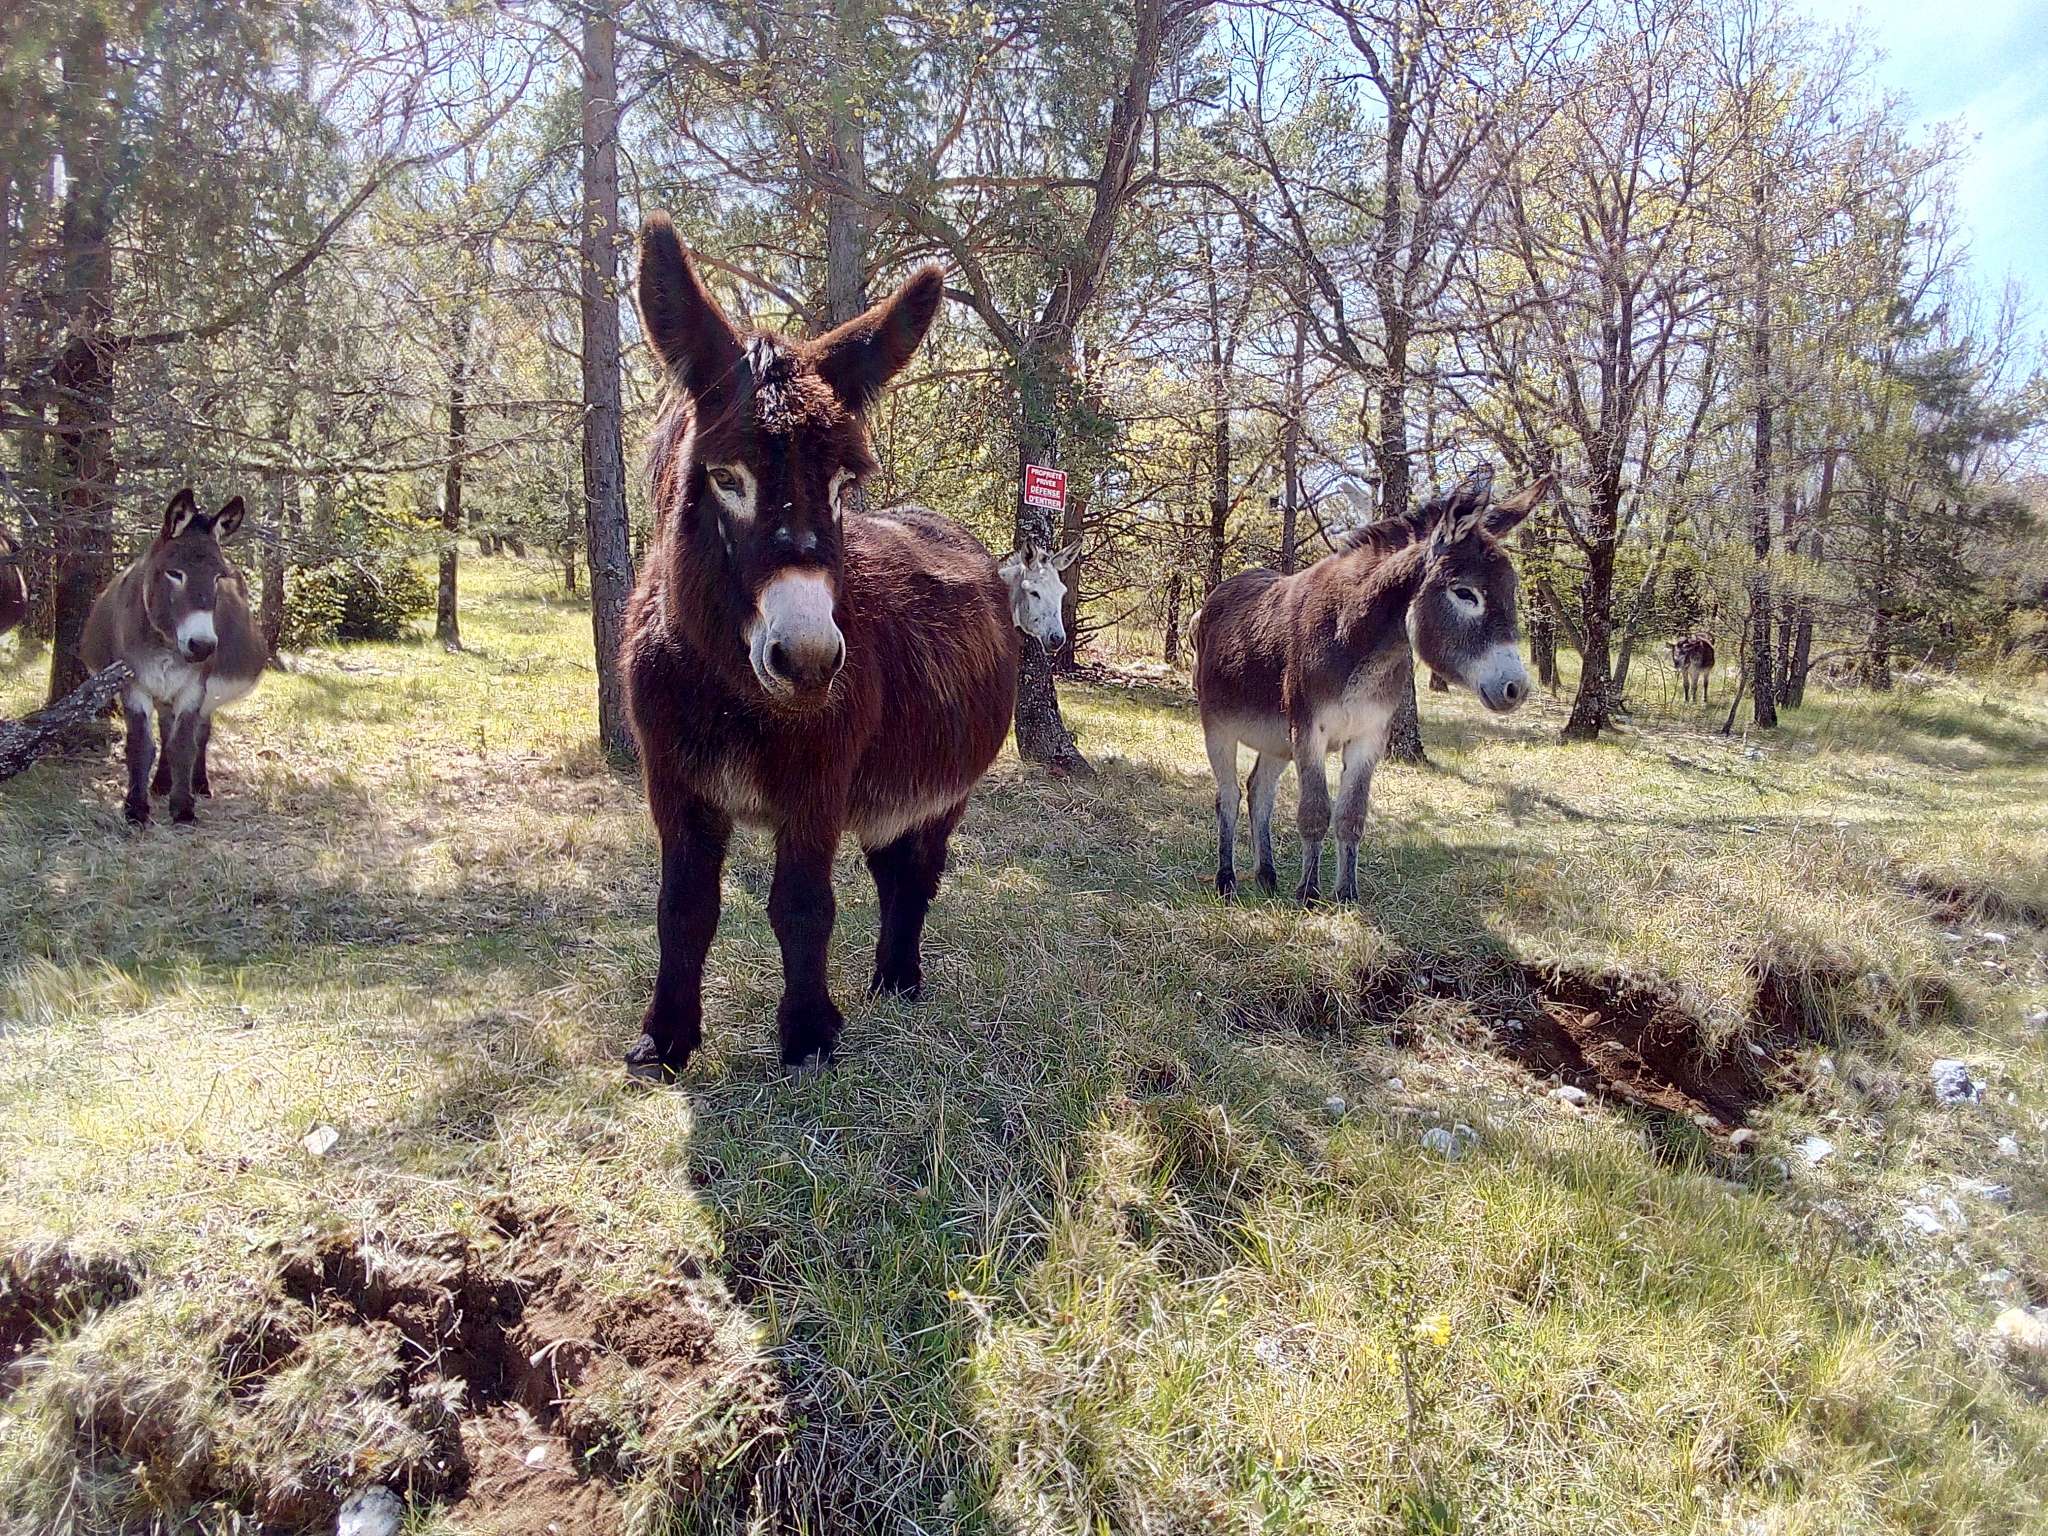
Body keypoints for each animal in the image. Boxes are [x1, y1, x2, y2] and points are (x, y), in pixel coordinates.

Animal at [81, 490, 264, 825]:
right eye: (175, 573)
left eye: (218, 577)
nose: (202, 646)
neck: (166, 645)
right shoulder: (132, 684)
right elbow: (141, 746)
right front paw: (136, 809)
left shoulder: (193, 689)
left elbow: (184, 745)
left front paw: (183, 808)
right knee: (166, 730)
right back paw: (161, 784)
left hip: (206, 694)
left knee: (201, 733)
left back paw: (199, 784)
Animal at [620, 216, 1065, 1079]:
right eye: (724, 478)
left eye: (841, 487)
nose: (810, 661)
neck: (732, 692)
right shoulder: (674, 783)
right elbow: (682, 907)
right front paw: (666, 1040)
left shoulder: (818, 786)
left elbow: (801, 905)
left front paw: (808, 1039)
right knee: (893, 867)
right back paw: (888, 979)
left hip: (947, 783)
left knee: (917, 875)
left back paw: (900, 978)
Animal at [1194, 467, 1549, 904]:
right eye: (1465, 594)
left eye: (1512, 592)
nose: (1516, 688)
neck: (1359, 640)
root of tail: (1223, 589)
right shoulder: (1308, 730)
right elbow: (1315, 812)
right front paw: (1309, 894)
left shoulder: (1368, 736)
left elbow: (1351, 816)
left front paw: (1347, 893)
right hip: (1219, 727)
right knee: (1228, 796)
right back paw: (1226, 880)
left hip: (1276, 739)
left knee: (1259, 791)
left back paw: (1266, 875)